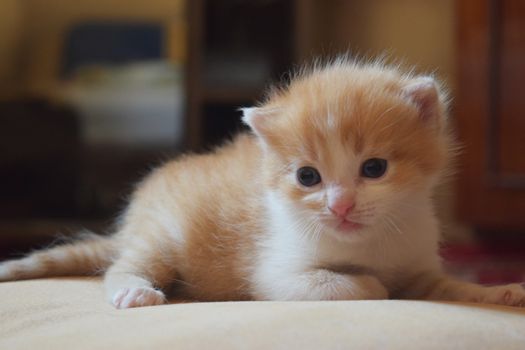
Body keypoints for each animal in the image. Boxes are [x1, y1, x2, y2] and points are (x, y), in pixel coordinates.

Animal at [1, 58, 524, 308]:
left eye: (374, 169)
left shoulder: (419, 262)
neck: (371, 242)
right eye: (308, 177)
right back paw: (133, 290)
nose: (340, 206)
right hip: (162, 237)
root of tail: (130, 228)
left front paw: (495, 291)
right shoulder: (277, 273)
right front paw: (375, 284)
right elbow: (355, 286)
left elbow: (445, 286)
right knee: (120, 267)